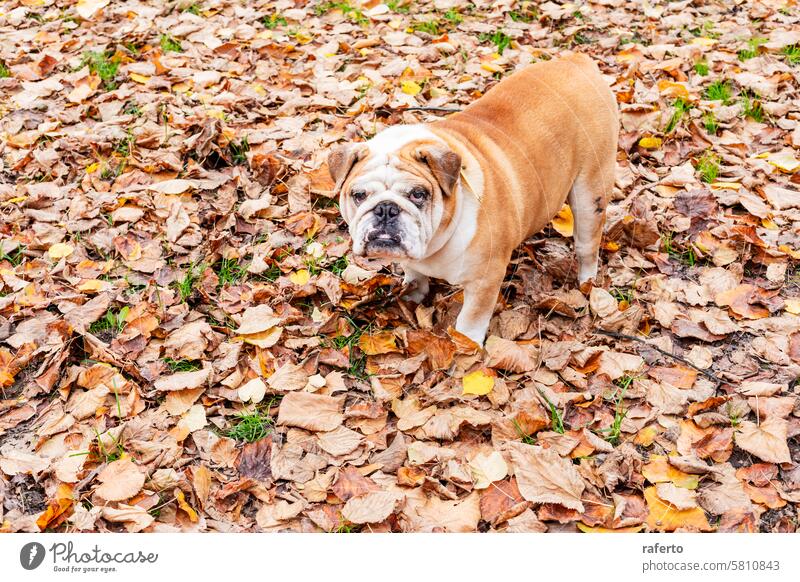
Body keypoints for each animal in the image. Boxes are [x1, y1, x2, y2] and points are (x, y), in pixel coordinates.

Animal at [328, 53, 616, 346]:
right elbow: (415, 273)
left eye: (419, 194)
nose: (386, 209)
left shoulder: (484, 281)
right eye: (359, 195)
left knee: (587, 246)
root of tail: (576, 60)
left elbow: (471, 318)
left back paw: (587, 283)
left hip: (590, 193)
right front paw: (413, 295)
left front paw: (466, 345)